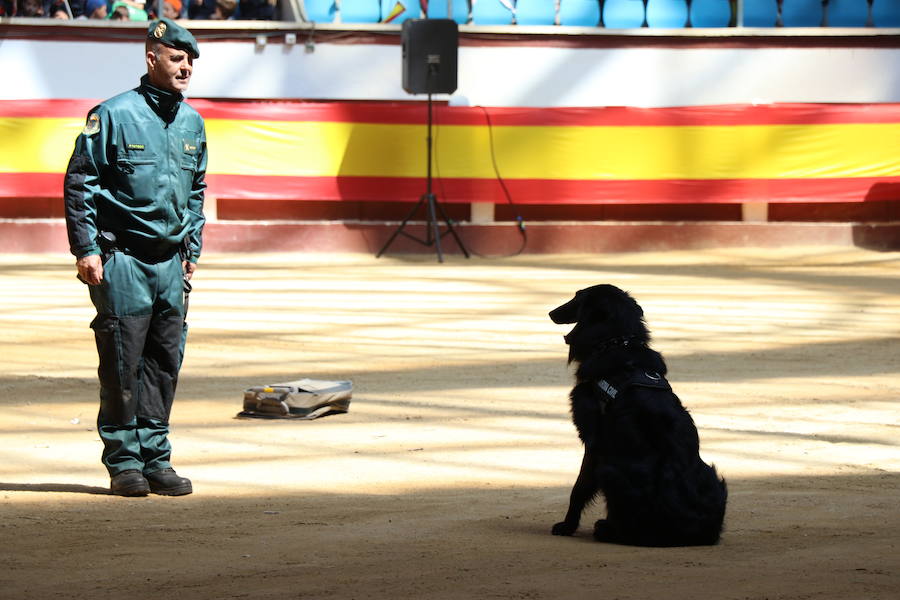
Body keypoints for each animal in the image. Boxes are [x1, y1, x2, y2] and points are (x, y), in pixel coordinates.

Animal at [544, 284, 728, 548]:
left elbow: (578, 489)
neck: (615, 343)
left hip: (609, 469)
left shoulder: (594, 443)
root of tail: (695, 534)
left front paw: (567, 526)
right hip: (714, 477)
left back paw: (608, 529)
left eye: (578, 296)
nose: (550, 313)